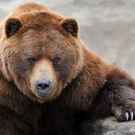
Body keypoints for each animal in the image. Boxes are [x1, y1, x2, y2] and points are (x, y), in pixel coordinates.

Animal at [0, 1, 135, 135]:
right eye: (31, 58)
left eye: (56, 58)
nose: (43, 84)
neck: (43, 102)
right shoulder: (9, 96)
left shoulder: (78, 85)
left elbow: (110, 82)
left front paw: (128, 112)